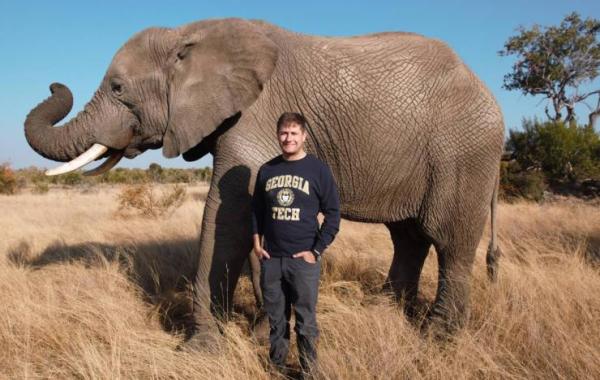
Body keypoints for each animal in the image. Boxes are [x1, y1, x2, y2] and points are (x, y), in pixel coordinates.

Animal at [23, 17, 504, 344]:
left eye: (119, 89)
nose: (53, 83)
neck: (188, 33)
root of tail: (487, 91)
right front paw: (257, 335)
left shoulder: (254, 116)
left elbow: (226, 216)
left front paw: (201, 349)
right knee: (408, 236)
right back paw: (382, 310)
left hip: (464, 151)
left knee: (447, 239)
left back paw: (439, 337)